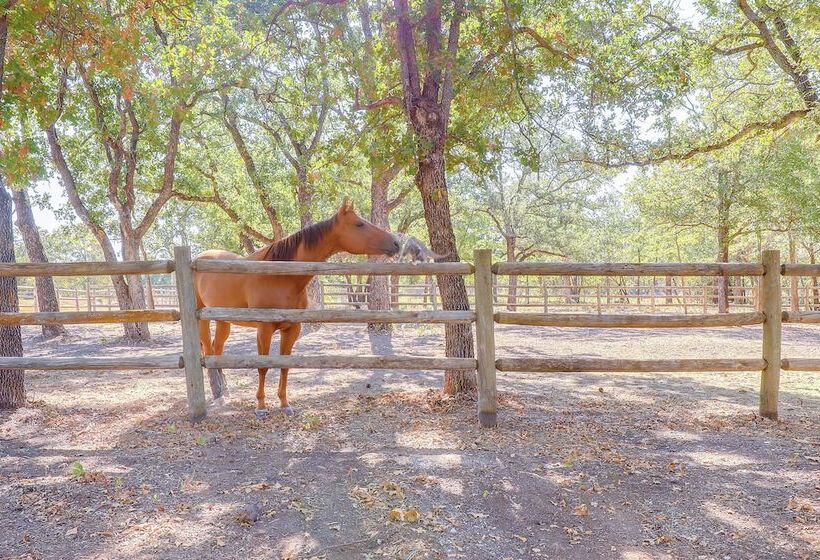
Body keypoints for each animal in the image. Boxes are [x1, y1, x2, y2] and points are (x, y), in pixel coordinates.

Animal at [193, 199, 400, 417]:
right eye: (359, 224)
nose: (396, 243)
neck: (280, 276)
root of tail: (197, 260)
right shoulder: (263, 330)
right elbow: (263, 367)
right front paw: (261, 406)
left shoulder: (292, 329)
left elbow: (285, 366)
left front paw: (285, 404)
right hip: (202, 320)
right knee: (207, 351)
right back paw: (218, 394)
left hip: (223, 321)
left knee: (217, 352)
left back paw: (224, 390)